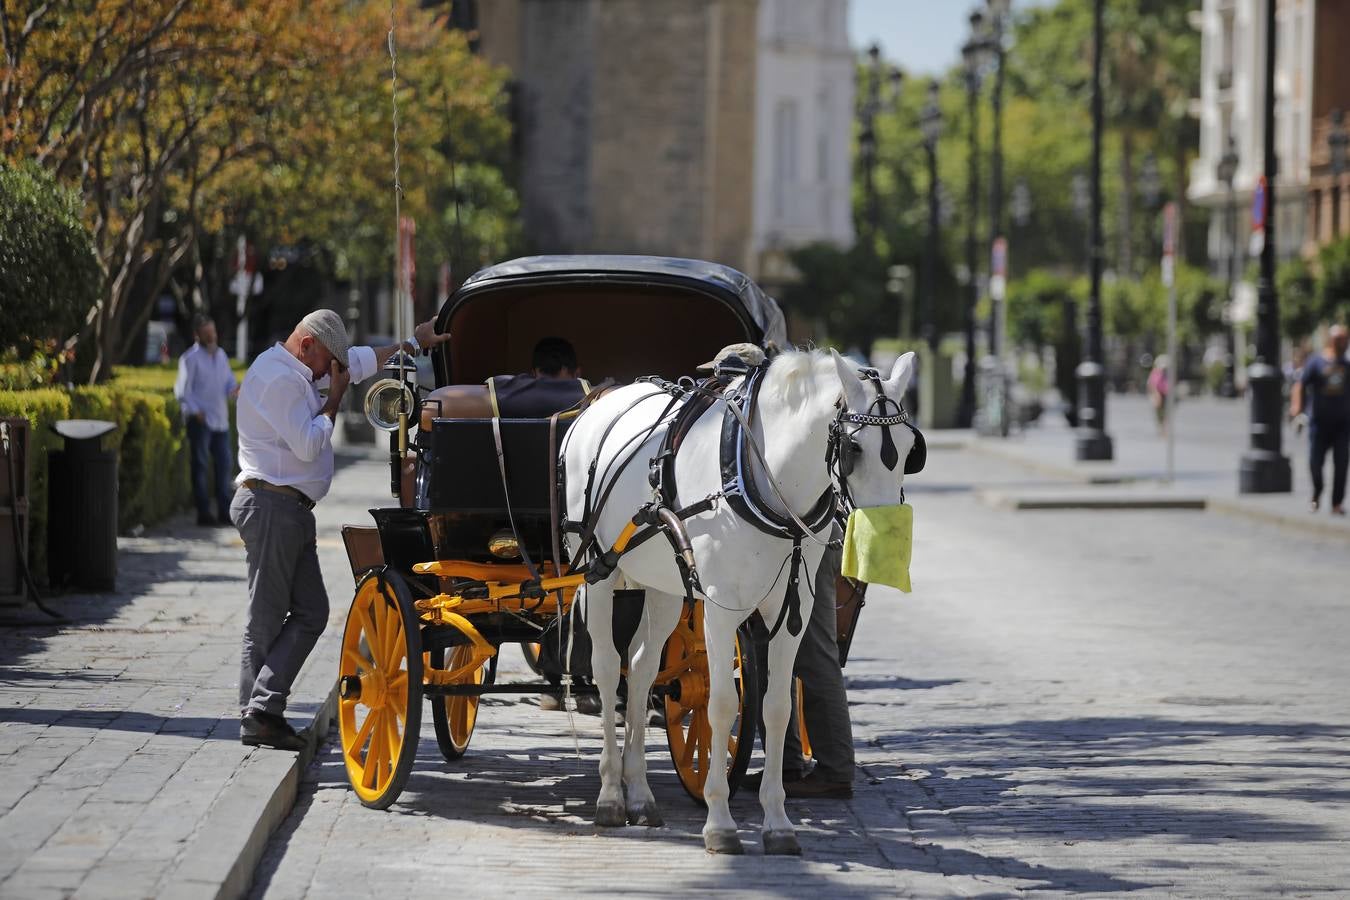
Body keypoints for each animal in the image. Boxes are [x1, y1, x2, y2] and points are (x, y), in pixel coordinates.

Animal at [558, 348, 918, 858]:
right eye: (854, 449)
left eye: (910, 450)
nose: (883, 539)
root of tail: (602, 399)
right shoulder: (720, 609)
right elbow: (722, 705)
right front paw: (720, 822)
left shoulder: (792, 613)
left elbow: (778, 708)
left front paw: (778, 823)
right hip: (598, 574)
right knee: (609, 670)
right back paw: (610, 795)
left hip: (664, 584)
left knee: (643, 667)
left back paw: (640, 794)